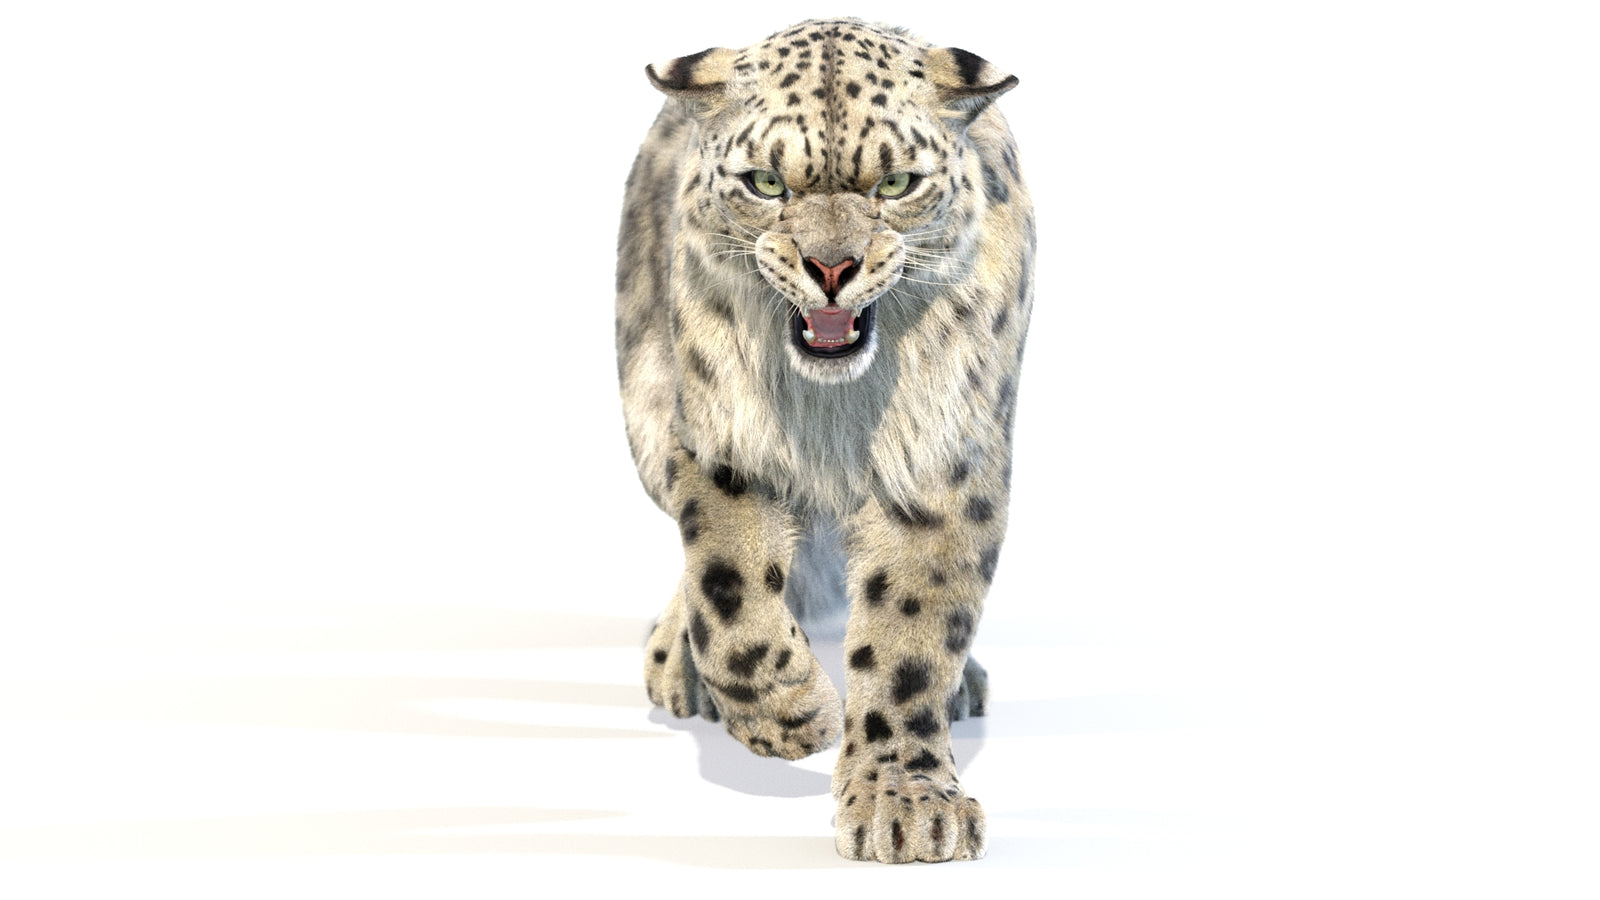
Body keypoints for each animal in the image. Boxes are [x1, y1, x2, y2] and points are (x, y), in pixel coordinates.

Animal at [615, 18, 1034, 864]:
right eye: (766, 183)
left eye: (896, 184)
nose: (831, 267)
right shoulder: (724, 441)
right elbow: (730, 594)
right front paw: (796, 714)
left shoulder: (938, 461)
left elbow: (911, 629)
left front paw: (906, 805)